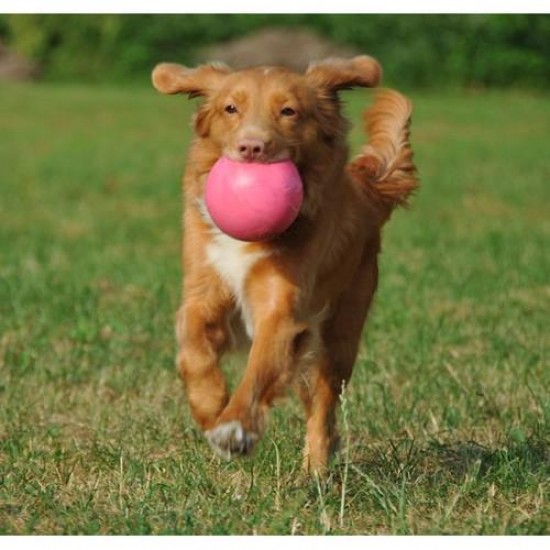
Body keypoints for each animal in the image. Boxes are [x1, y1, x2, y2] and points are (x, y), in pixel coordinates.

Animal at [151, 57, 418, 478]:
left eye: (289, 111)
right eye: (231, 108)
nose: (251, 147)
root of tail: (365, 189)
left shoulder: (282, 311)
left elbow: (259, 371)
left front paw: (235, 428)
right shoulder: (203, 291)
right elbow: (193, 349)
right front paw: (210, 406)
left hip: (339, 335)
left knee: (323, 406)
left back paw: (315, 469)